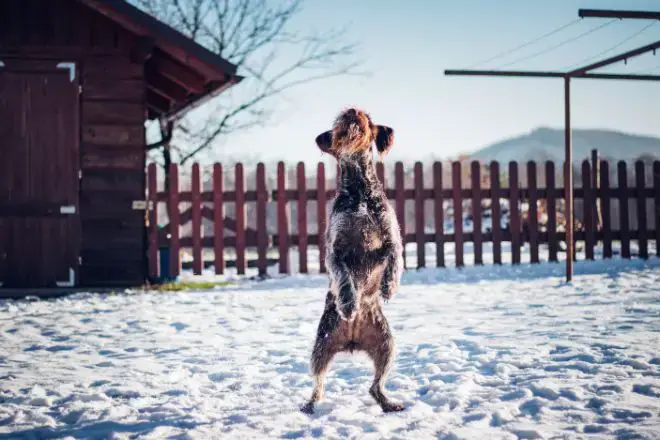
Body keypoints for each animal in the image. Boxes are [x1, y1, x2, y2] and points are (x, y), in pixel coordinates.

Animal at [302, 108, 404, 414]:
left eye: (367, 118)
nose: (353, 111)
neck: (360, 191)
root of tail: (352, 340)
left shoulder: (391, 237)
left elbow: (394, 258)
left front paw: (388, 286)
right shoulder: (335, 250)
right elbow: (344, 276)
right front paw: (348, 302)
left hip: (387, 346)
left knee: (375, 387)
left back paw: (388, 403)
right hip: (320, 349)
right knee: (318, 385)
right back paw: (310, 405)